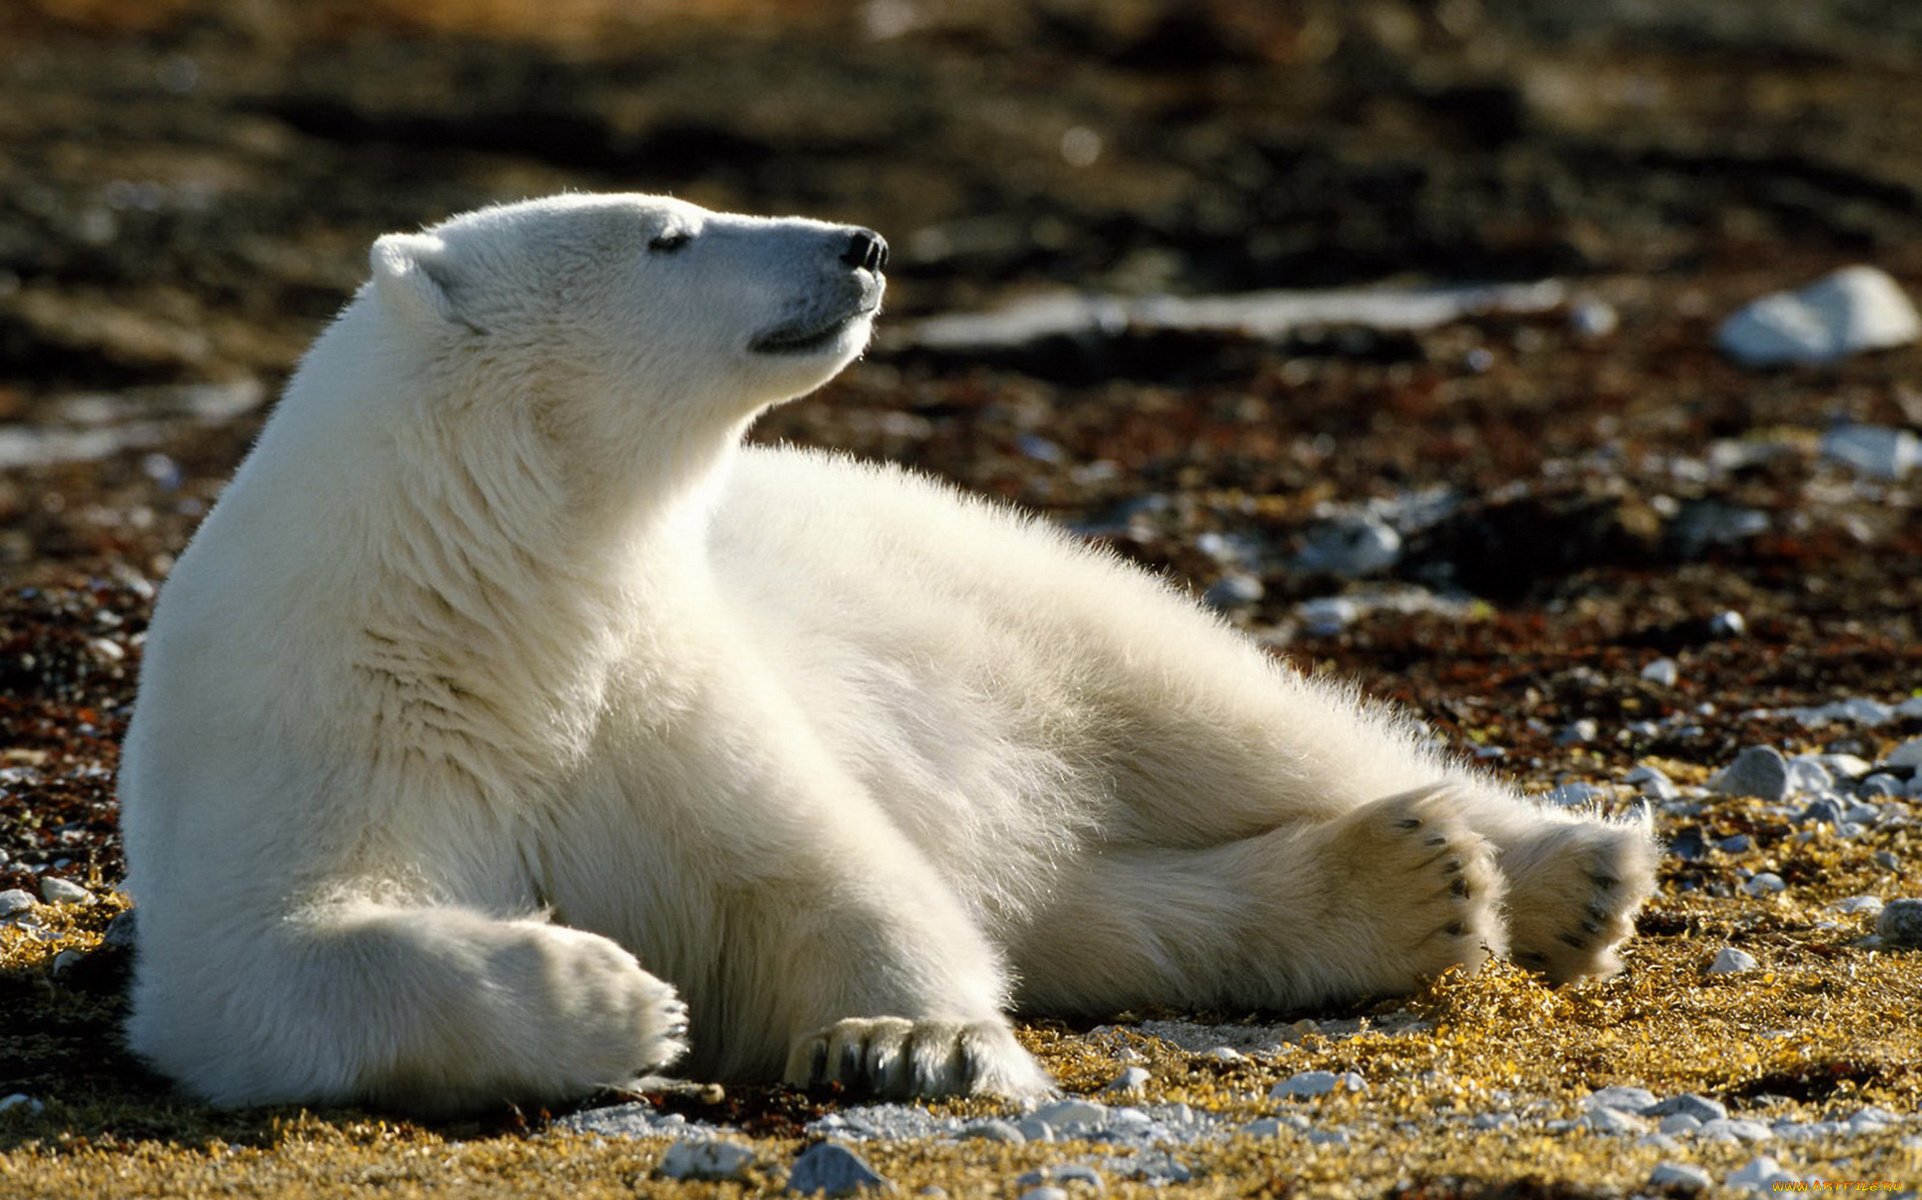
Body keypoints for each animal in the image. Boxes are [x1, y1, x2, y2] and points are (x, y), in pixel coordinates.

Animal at [116, 189, 1652, 1115]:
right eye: (667, 234)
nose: (858, 244)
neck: (495, 603)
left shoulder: (661, 692)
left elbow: (834, 875)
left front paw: (906, 1042)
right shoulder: (326, 720)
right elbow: (266, 962)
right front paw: (615, 996)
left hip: (995, 587)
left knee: (1214, 716)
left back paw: (1562, 869)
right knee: (1099, 905)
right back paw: (1408, 883)